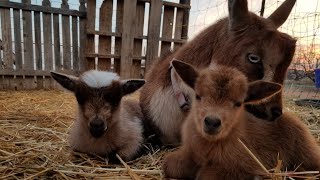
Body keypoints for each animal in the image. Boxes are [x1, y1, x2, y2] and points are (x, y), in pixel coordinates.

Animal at [162, 60, 320, 180]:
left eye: (238, 103)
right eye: (198, 96)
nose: (212, 122)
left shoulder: (246, 164)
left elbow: (205, 175)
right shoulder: (188, 152)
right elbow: (169, 165)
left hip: (306, 152)